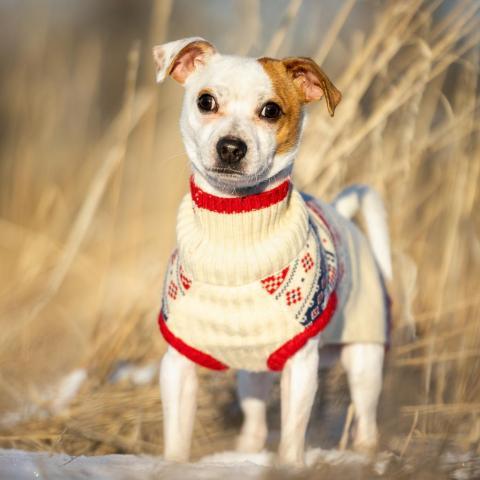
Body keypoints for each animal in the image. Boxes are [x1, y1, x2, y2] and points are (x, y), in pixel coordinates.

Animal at [152, 37, 392, 464]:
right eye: (205, 101)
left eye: (271, 110)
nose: (231, 147)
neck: (236, 233)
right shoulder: (177, 365)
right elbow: (176, 438)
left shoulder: (301, 365)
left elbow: (293, 435)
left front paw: (290, 466)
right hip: (253, 373)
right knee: (255, 423)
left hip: (364, 360)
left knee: (366, 421)